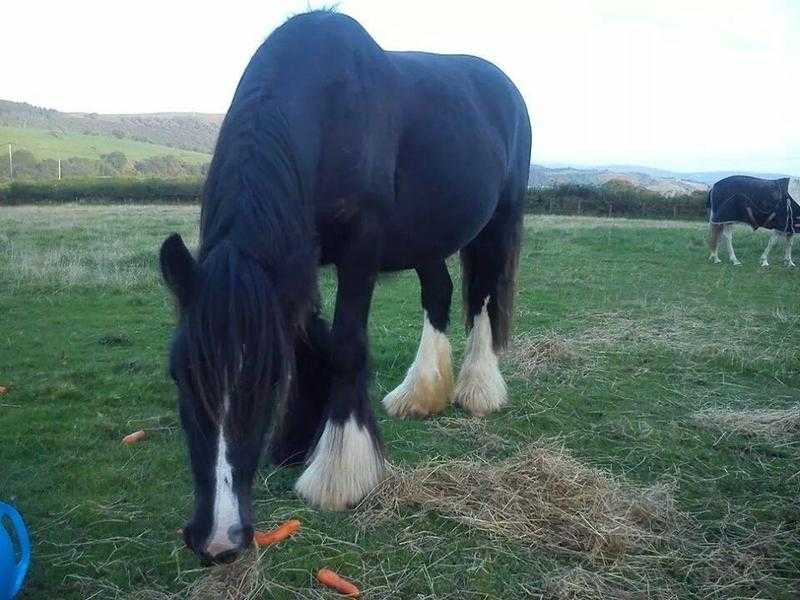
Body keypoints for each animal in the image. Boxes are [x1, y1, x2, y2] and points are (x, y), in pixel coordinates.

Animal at [158, 9, 532, 564]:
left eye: (269, 380)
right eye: (179, 375)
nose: (218, 539)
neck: (329, 104)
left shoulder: (361, 247)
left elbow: (347, 345)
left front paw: (338, 472)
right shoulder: (298, 253)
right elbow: (309, 337)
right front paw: (295, 441)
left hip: (496, 222)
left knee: (483, 296)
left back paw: (478, 391)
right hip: (425, 238)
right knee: (439, 293)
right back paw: (422, 393)